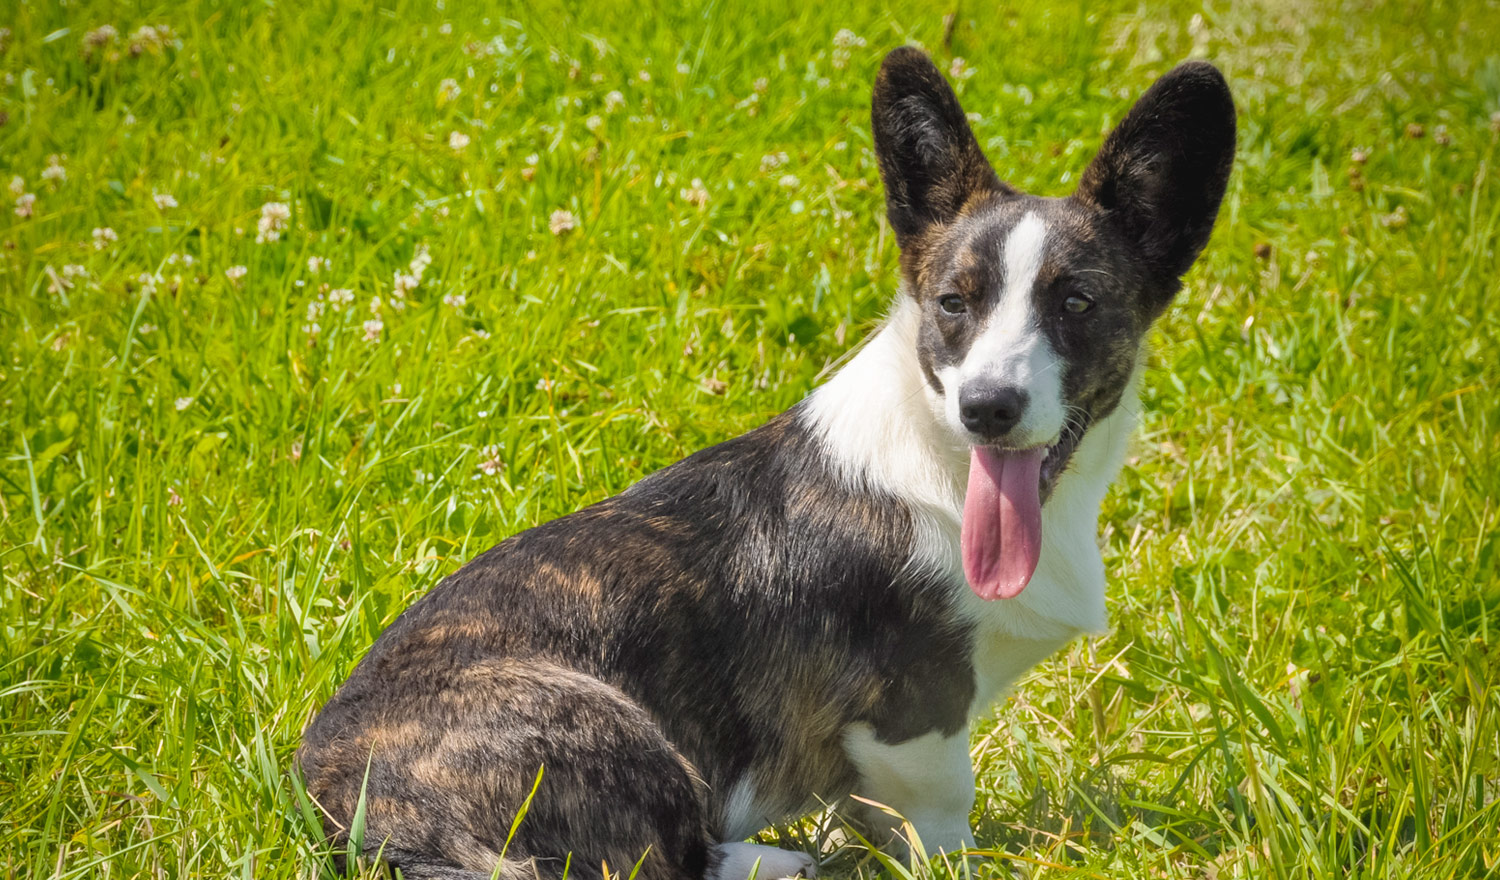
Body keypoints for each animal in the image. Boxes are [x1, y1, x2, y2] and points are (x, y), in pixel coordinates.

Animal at [298, 46, 1236, 880]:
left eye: (1076, 302)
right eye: (951, 304)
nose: (987, 408)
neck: (945, 465)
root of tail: (336, 794)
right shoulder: (917, 713)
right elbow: (941, 817)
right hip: (608, 724)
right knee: (655, 860)